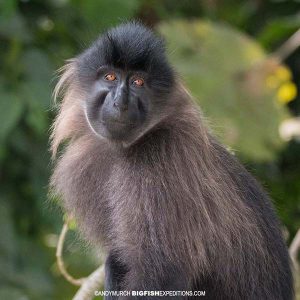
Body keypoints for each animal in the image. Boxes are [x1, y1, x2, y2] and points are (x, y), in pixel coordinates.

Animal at [50, 22, 294, 298]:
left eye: (138, 82)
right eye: (110, 77)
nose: (120, 102)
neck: (125, 149)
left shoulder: (158, 161)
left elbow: (162, 274)